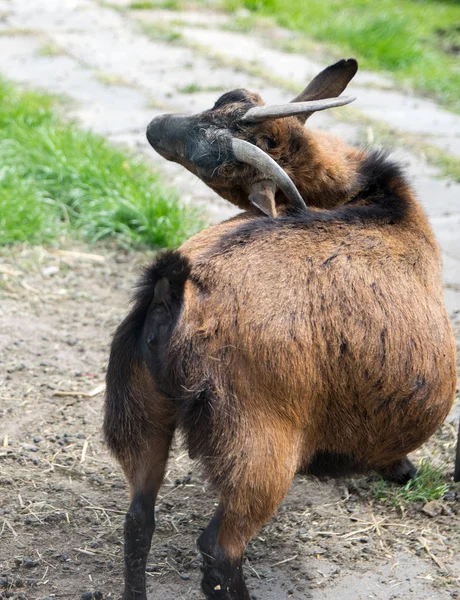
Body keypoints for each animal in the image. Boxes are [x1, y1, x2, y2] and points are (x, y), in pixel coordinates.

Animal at [103, 57, 456, 600]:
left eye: (217, 159)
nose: (155, 126)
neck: (381, 202)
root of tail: (173, 293)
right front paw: (402, 469)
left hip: (141, 409)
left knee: (138, 519)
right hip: (258, 443)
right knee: (219, 547)